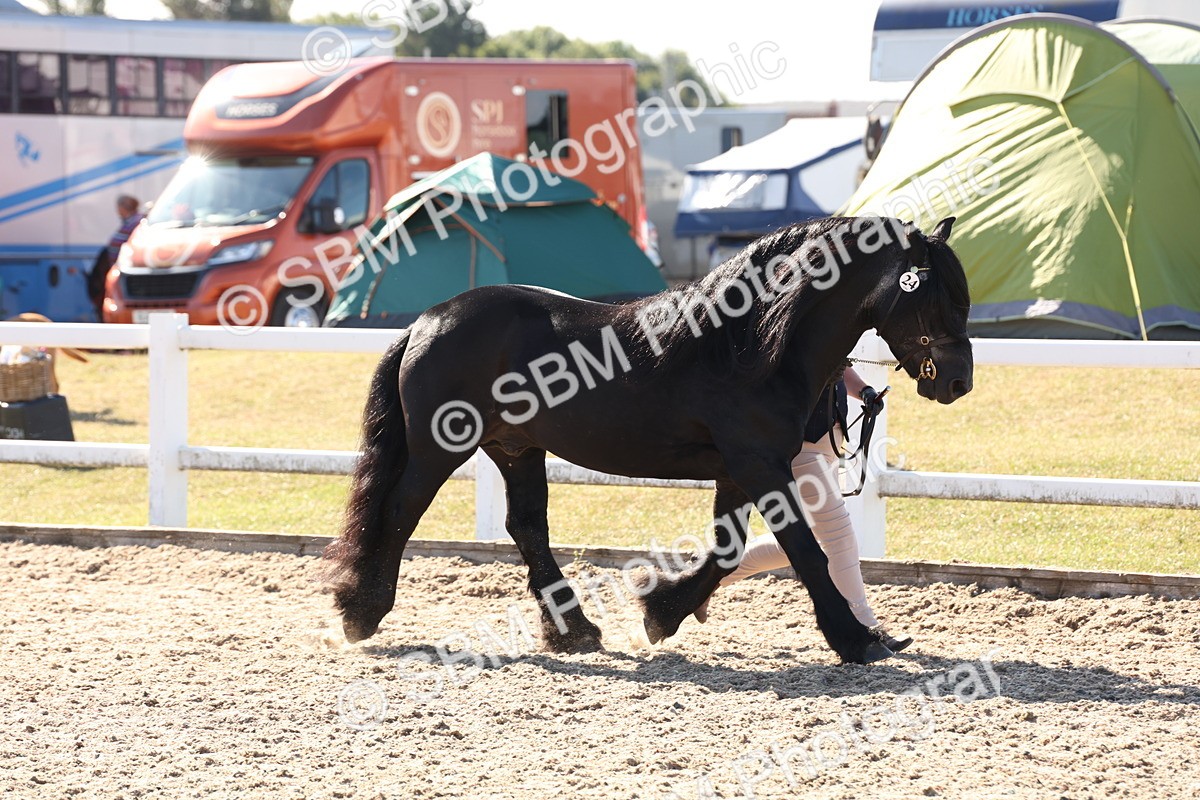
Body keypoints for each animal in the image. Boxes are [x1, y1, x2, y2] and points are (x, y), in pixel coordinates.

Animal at [323, 215, 973, 664]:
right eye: (932, 294)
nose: (958, 381)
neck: (749, 345)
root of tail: (427, 319)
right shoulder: (760, 465)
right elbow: (806, 552)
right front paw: (855, 640)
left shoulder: (738, 471)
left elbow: (729, 549)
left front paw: (663, 612)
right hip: (440, 449)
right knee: (400, 511)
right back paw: (362, 611)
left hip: (515, 449)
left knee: (527, 528)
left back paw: (575, 631)